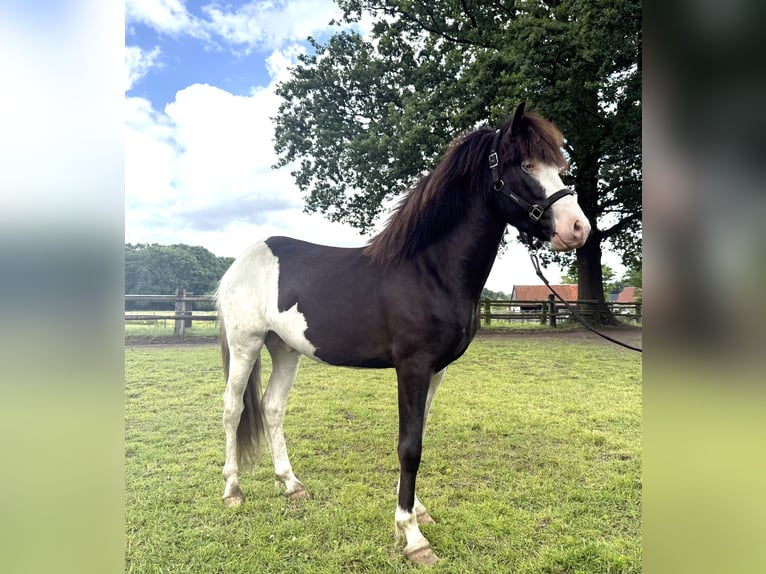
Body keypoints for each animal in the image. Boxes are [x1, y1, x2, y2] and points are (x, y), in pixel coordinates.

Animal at [215, 103, 590, 565]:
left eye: (560, 166)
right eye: (525, 164)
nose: (578, 228)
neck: (429, 270)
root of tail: (241, 261)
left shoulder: (436, 370)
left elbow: (417, 436)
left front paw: (416, 512)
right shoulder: (412, 367)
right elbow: (409, 446)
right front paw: (412, 537)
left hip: (285, 348)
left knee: (271, 407)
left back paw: (291, 485)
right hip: (246, 345)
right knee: (232, 409)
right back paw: (232, 491)